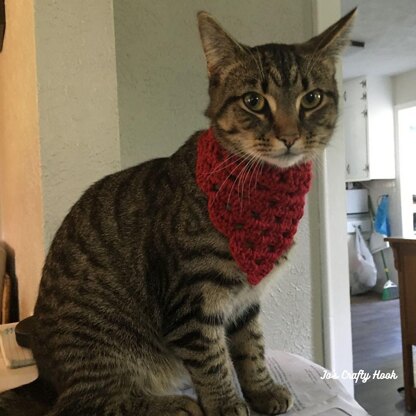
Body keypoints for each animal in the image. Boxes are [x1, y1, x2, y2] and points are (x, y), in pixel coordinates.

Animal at [2, 8, 354, 416]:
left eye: (311, 98)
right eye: (253, 101)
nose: (289, 135)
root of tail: (46, 379)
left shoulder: (245, 302)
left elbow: (252, 349)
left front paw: (262, 390)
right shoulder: (192, 304)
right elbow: (212, 362)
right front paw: (225, 404)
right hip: (105, 348)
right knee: (92, 403)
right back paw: (172, 404)